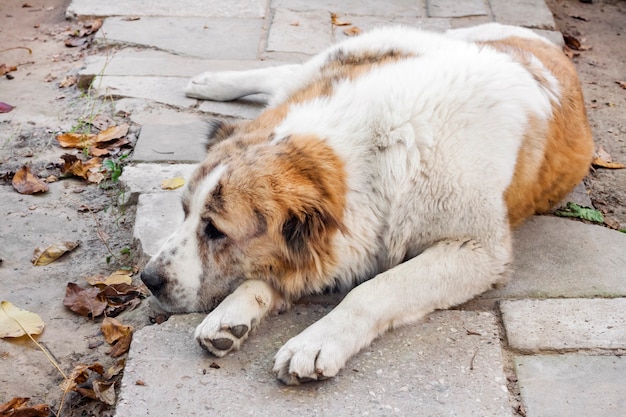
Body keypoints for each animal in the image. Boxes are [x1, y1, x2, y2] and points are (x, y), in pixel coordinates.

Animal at [139, 23, 592, 384]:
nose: (147, 279)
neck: (377, 148)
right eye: (184, 212)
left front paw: (317, 340)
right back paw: (212, 81)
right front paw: (233, 310)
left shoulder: (477, 250)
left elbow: (376, 288)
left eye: (214, 230)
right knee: (284, 73)